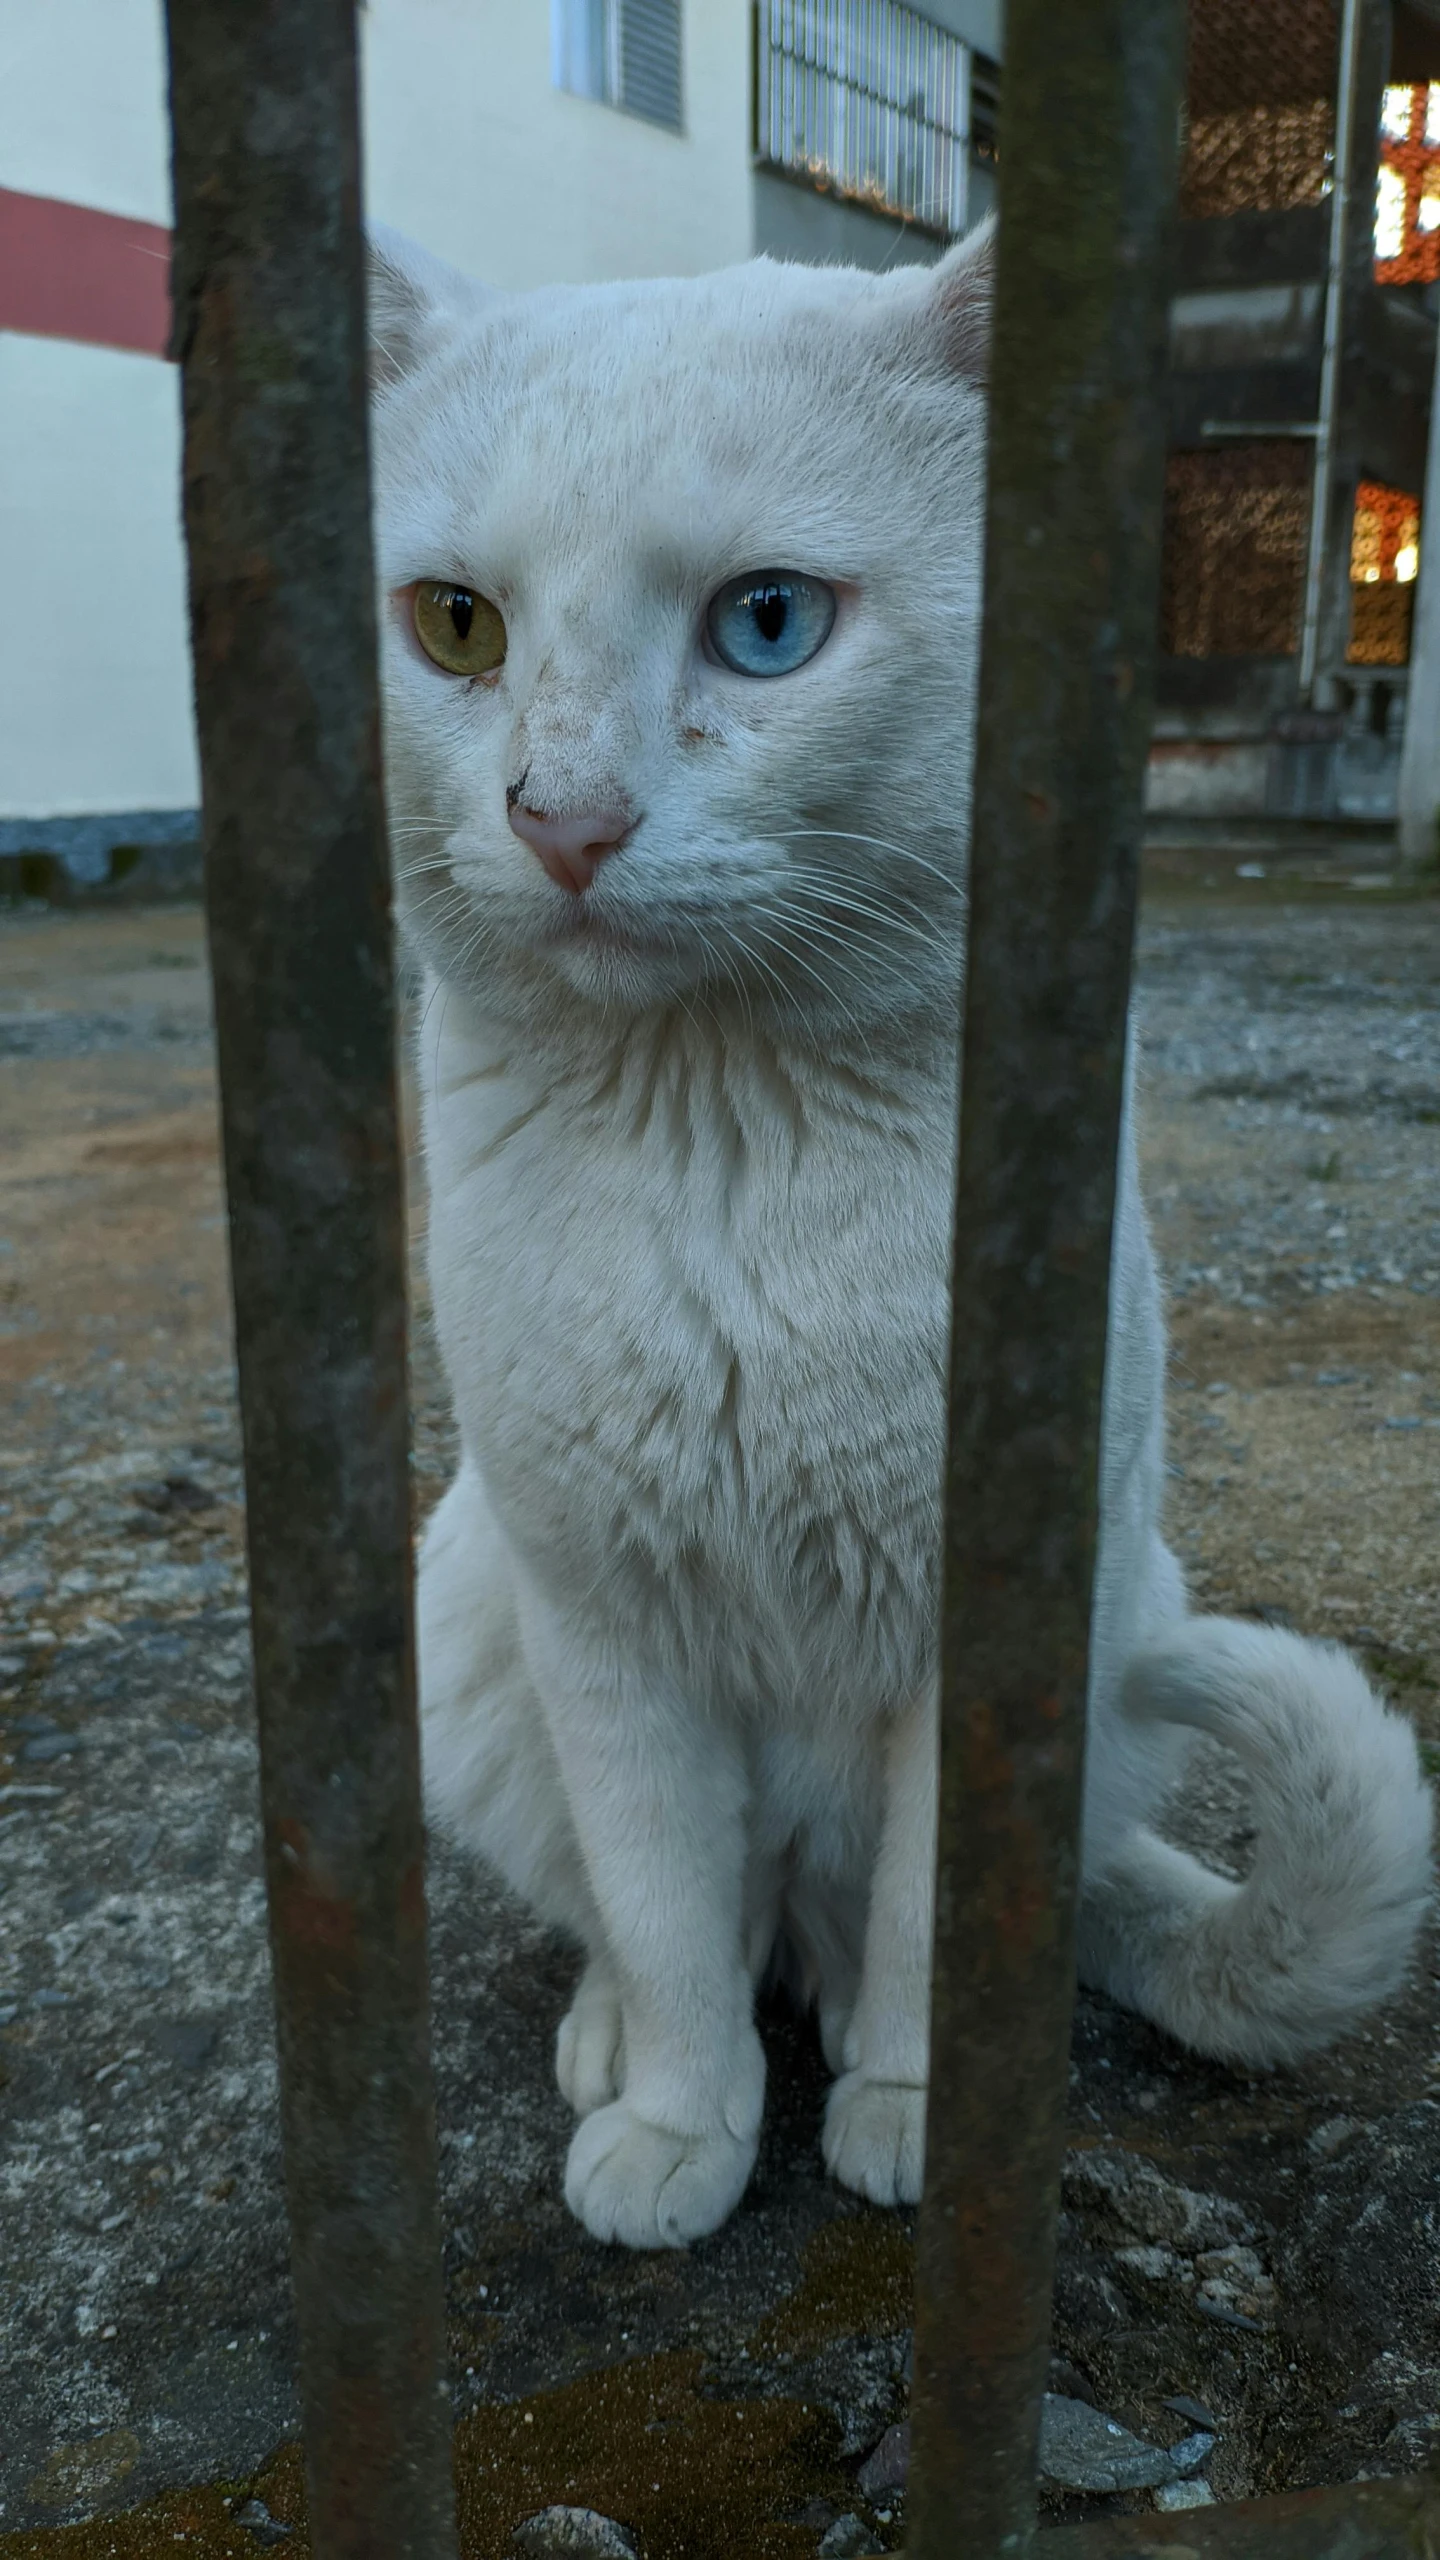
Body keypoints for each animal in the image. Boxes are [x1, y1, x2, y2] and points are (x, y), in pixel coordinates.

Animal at [366, 230, 1424, 2252]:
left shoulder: (988, 1629)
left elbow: (941, 1918)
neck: (727, 1151)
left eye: (768, 623)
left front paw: (923, 2115)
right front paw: (682, 2131)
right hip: (470, 1615)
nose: (561, 821)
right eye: (456, 627)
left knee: (859, 1927)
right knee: (674, 1921)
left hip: (1117, 1626)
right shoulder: (602, 1616)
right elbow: (665, 1911)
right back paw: (614, 2048)